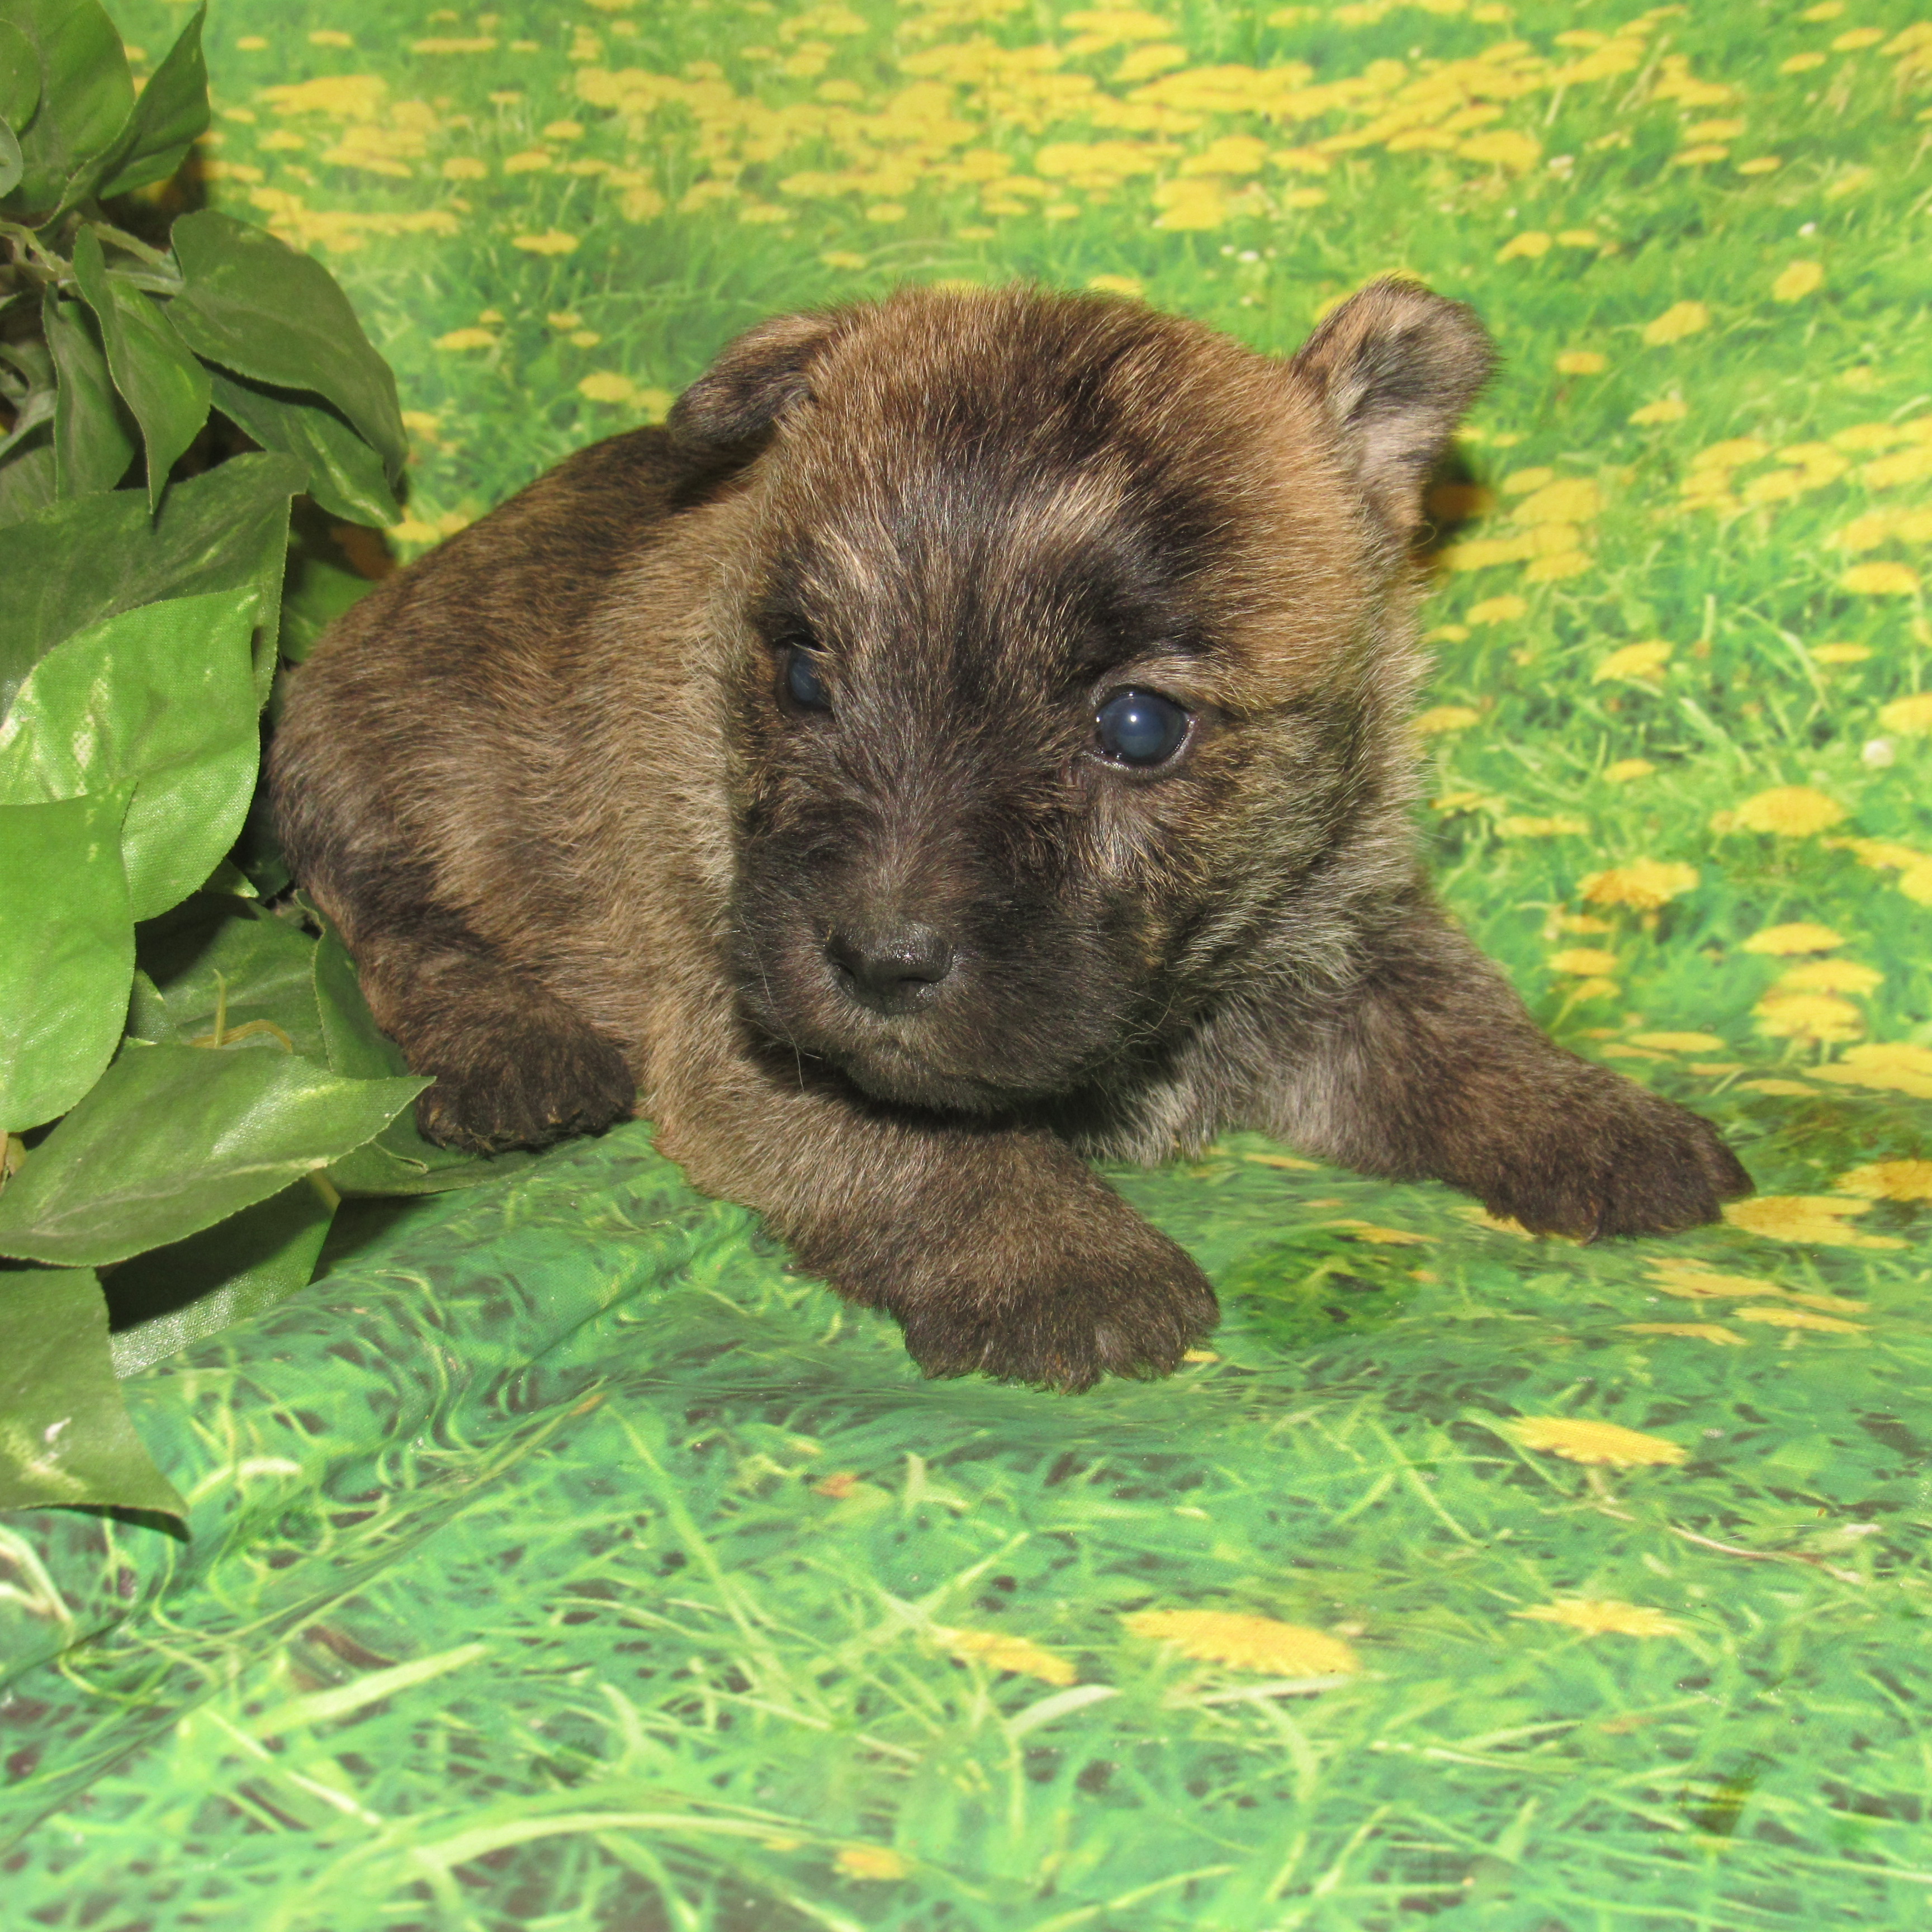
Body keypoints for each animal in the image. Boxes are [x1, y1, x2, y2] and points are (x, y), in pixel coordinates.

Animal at [270, 279, 1752, 1389]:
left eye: (1139, 725)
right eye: (802, 676)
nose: (877, 958)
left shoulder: (1345, 928)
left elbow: (1463, 1023)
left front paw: (1597, 1122)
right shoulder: (745, 1025)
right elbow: (925, 1145)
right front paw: (1061, 1261)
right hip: (377, 767)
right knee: (383, 930)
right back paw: (513, 1048)